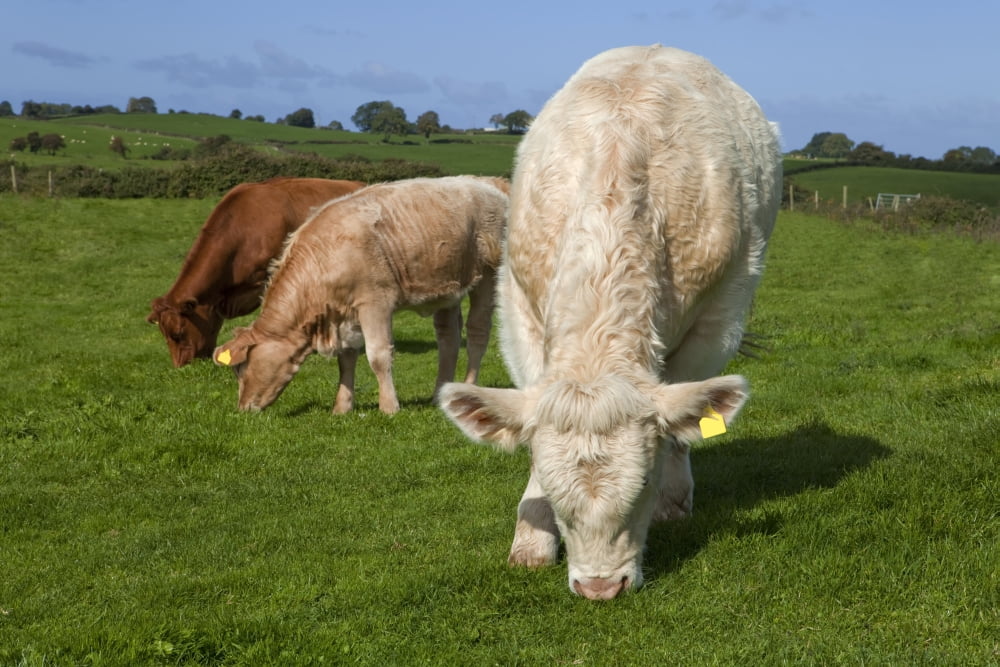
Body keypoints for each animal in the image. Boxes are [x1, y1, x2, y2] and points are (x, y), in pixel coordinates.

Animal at [212, 175, 509, 415]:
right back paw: (439, 395)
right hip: (448, 288)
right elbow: (346, 360)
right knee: (448, 339)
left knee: (477, 334)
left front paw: (389, 407)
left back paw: (470, 387)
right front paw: (342, 407)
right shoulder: (346, 311)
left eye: (240, 368)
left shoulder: (375, 303)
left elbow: (378, 355)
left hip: (488, 275)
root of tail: (488, 183)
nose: (242, 408)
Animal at [438, 45, 782, 599]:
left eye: (641, 487)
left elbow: (682, 416)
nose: (601, 587)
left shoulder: (716, 320)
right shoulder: (520, 312)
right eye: (557, 498)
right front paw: (532, 538)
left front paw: (672, 501)